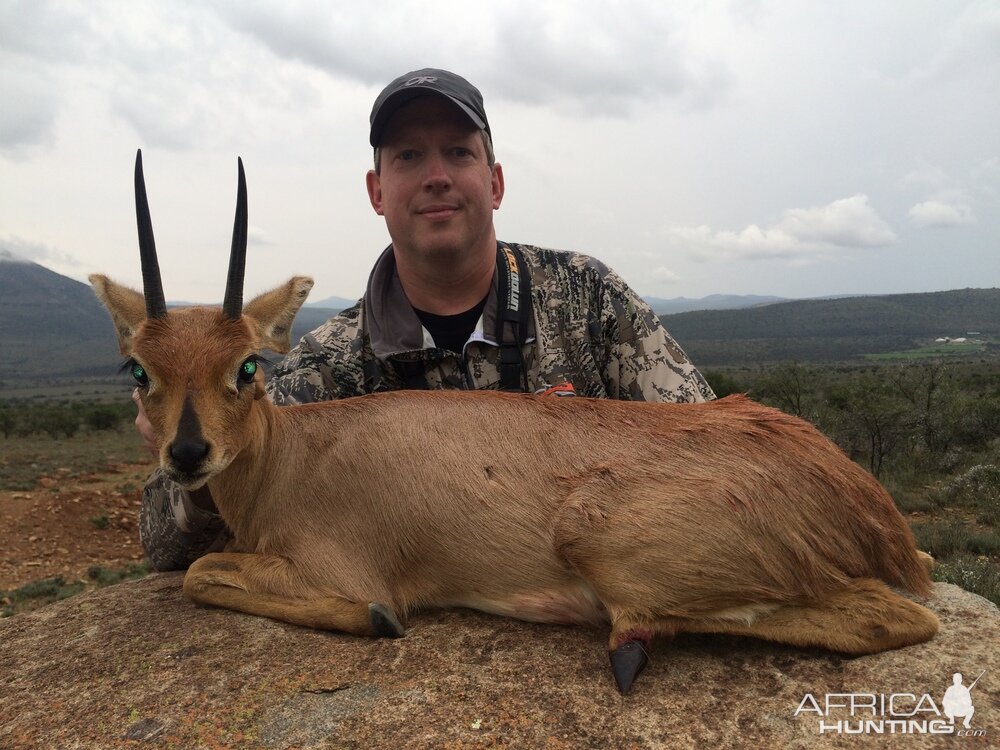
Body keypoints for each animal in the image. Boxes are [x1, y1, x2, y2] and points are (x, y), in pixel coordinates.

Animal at [90, 151, 940, 692]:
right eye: (139, 370)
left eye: (246, 367)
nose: (187, 453)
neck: (295, 459)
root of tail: (866, 503)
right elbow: (197, 567)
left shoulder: (344, 569)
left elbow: (205, 575)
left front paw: (378, 621)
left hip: (605, 543)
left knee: (892, 617)